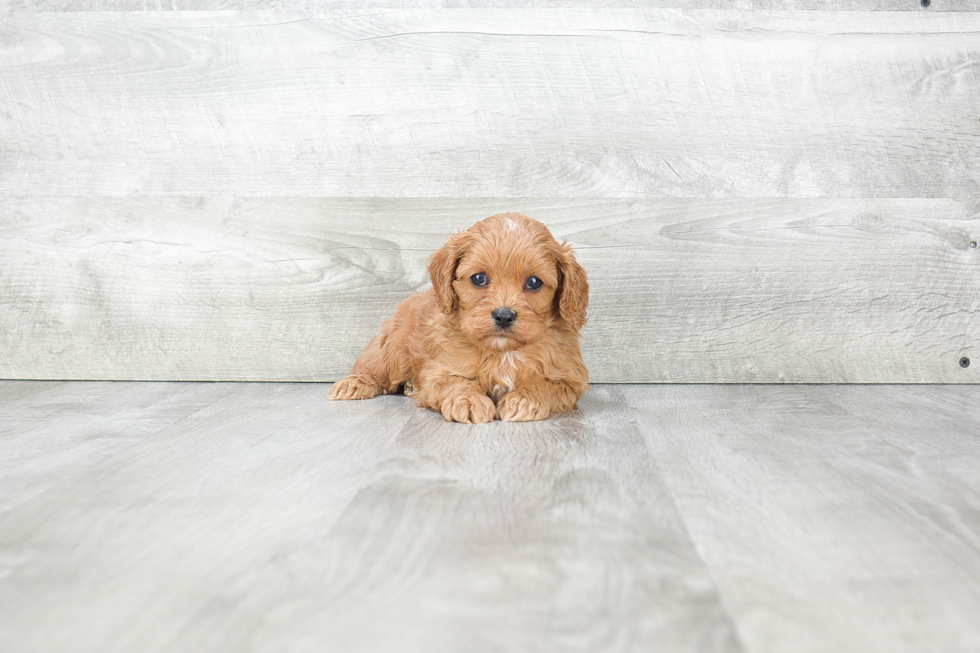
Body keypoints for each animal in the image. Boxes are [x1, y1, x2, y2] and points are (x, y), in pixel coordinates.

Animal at [330, 211, 588, 420]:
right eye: (479, 278)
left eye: (534, 282)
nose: (504, 316)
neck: (502, 353)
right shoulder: (440, 370)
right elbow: (456, 382)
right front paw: (469, 401)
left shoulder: (569, 378)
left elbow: (544, 384)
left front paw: (524, 399)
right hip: (393, 350)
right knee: (374, 367)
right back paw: (354, 383)